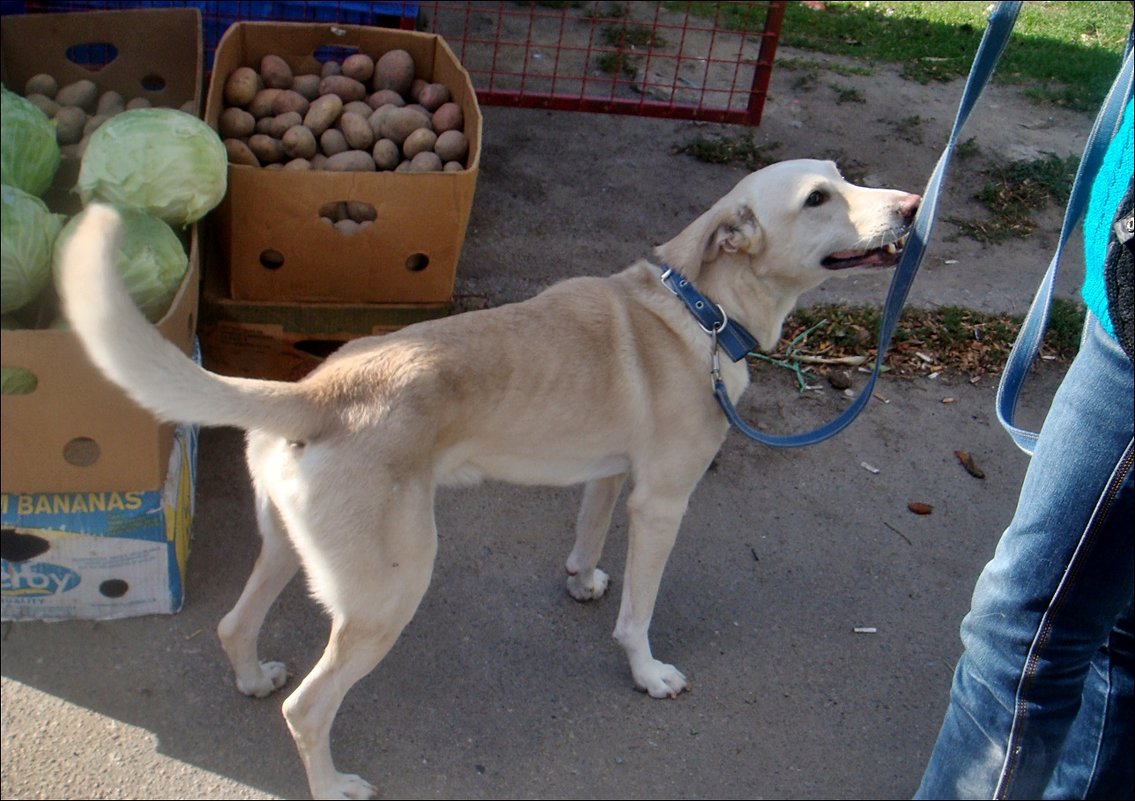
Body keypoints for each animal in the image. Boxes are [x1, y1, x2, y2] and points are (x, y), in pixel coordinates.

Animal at [57, 157, 917, 798]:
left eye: (842, 175)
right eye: (817, 198)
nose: (912, 207)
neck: (699, 308)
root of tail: (317, 389)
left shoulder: (612, 478)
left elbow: (587, 537)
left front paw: (580, 580)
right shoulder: (662, 503)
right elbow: (638, 615)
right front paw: (646, 673)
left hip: (291, 552)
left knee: (235, 626)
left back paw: (252, 676)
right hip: (388, 593)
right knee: (309, 707)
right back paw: (332, 783)